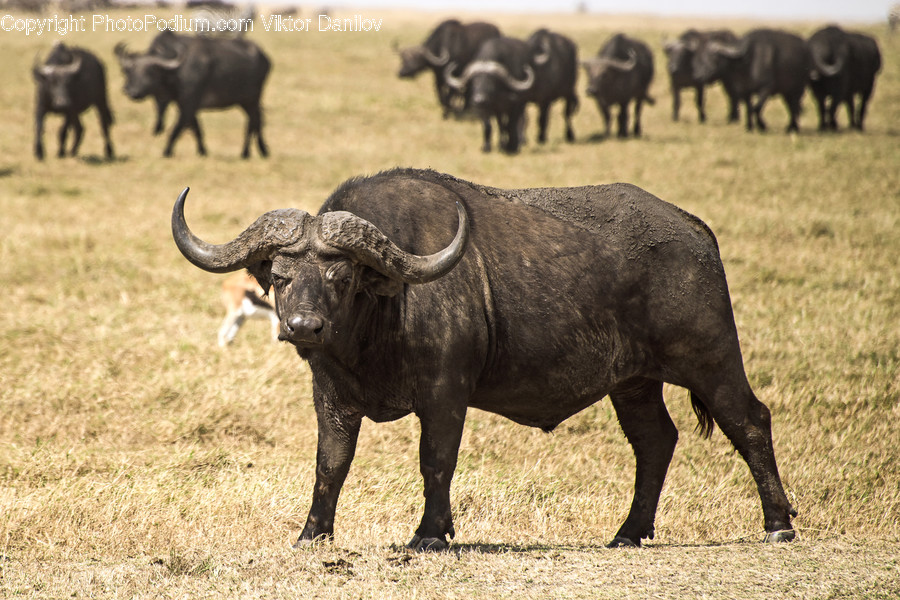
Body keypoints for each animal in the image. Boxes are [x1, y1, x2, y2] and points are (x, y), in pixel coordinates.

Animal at [115, 35, 270, 158]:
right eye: (130, 70)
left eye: (151, 71)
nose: (132, 92)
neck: (176, 72)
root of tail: (264, 57)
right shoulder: (186, 106)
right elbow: (196, 129)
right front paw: (202, 151)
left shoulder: (188, 105)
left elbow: (176, 129)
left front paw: (166, 152)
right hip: (245, 102)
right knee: (258, 121)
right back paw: (263, 150)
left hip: (252, 99)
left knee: (253, 123)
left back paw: (245, 153)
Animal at [172, 167, 798, 551]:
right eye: (280, 276)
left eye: (341, 276)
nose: (303, 327)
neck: (383, 316)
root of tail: (696, 231)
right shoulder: (332, 395)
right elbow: (331, 464)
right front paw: (313, 534)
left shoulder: (446, 393)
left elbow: (435, 461)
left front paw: (430, 533)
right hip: (634, 383)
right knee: (656, 441)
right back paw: (629, 531)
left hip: (711, 359)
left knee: (750, 420)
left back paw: (778, 524)